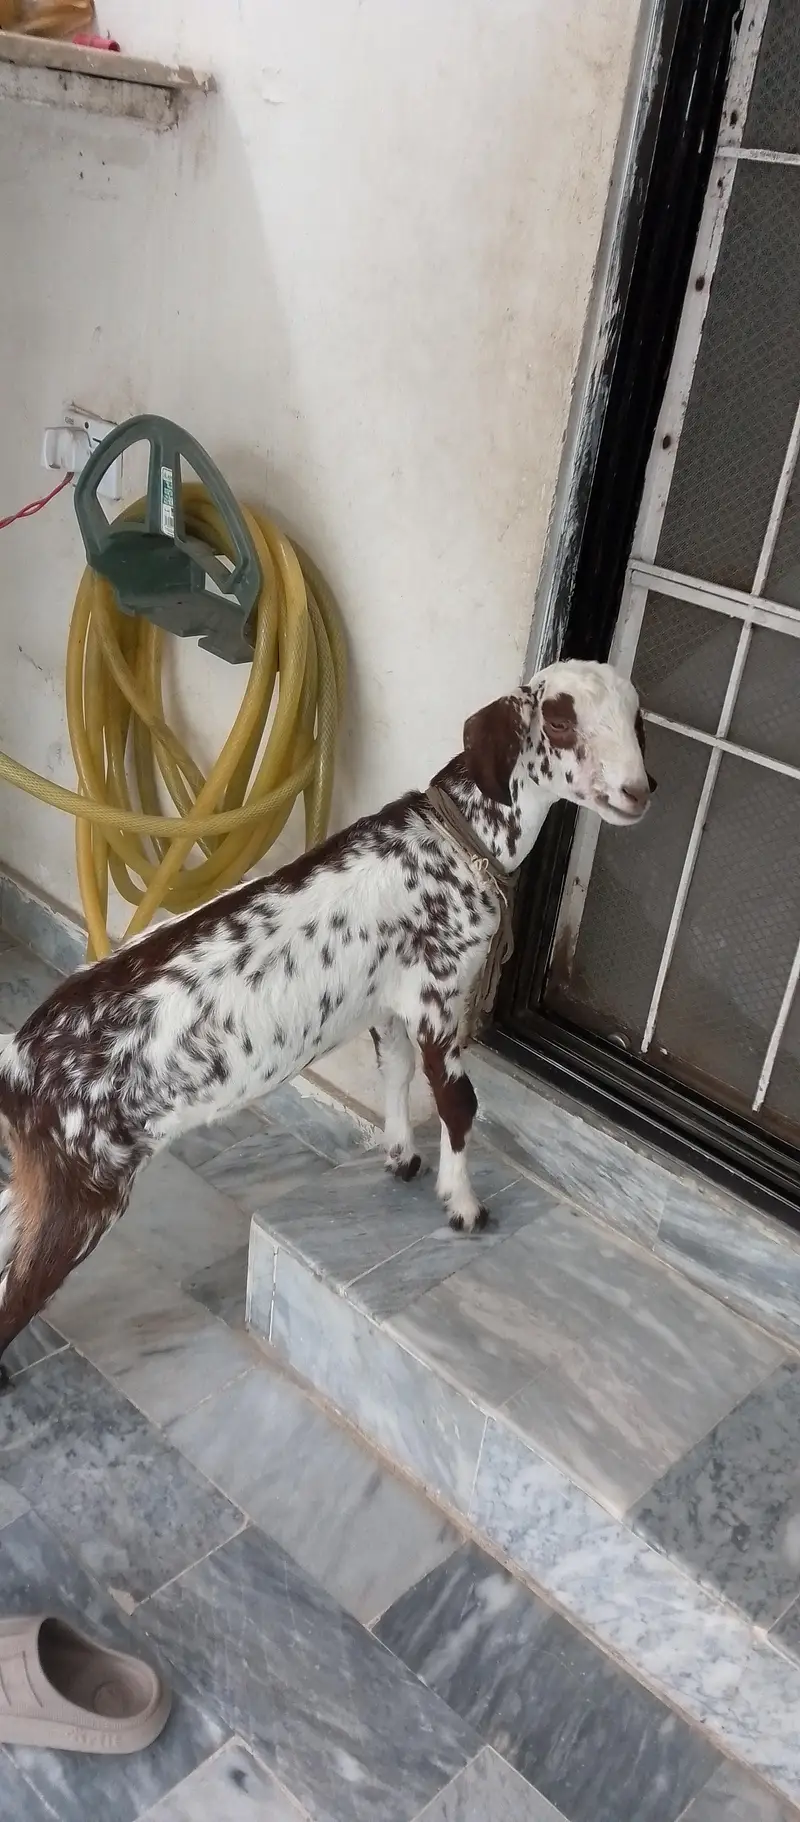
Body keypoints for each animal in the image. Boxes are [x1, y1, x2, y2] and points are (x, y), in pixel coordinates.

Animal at [0, 659, 653, 1377]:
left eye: (636, 719)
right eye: (559, 721)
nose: (639, 791)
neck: (457, 841)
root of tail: (16, 1064)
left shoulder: (389, 1003)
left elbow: (394, 1073)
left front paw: (401, 1156)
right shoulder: (438, 993)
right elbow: (459, 1104)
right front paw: (463, 1206)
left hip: (40, 1182)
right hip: (84, 1191)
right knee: (18, 1290)